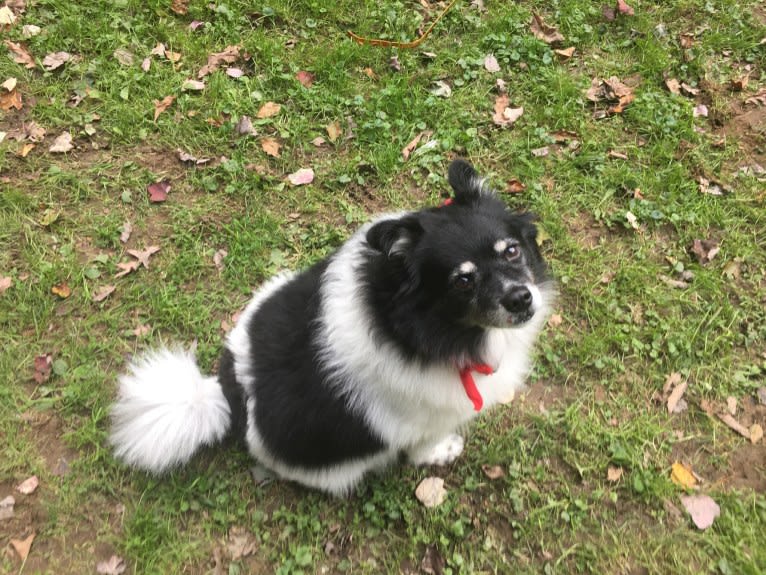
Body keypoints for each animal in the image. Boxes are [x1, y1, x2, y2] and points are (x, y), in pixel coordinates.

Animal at [111, 160, 556, 498]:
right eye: (462, 281)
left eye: (511, 251)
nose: (521, 299)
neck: (410, 326)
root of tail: (226, 393)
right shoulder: (422, 418)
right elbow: (425, 445)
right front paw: (442, 451)